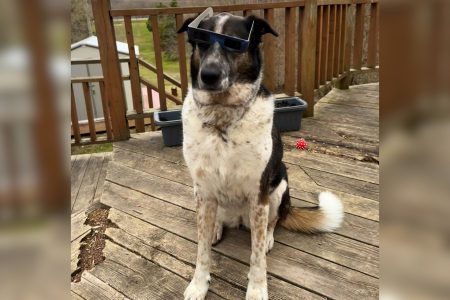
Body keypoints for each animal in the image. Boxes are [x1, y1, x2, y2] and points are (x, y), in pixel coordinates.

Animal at [178, 9, 342, 300]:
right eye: (202, 42)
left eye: (234, 43)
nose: (208, 75)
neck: (223, 117)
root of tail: (238, 218)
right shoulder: (204, 191)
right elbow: (201, 250)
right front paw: (199, 284)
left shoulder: (259, 195)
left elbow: (256, 258)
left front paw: (256, 288)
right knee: (214, 223)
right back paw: (217, 228)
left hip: (279, 186)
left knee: (273, 222)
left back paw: (267, 237)